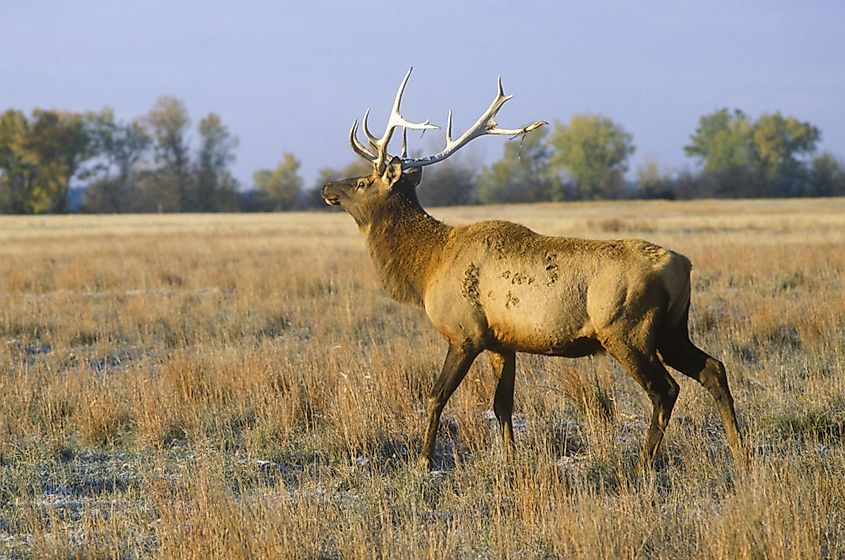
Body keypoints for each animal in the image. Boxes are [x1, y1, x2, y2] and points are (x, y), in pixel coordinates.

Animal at [320, 68, 740, 468]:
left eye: (363, 182)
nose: (327, 187)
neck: (427, 267)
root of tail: (683, 265)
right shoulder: (501, 342)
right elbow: (502, 404)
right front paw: (509, 457)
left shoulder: (465, 334)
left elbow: (436, 397)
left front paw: (424, 460)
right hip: (671, 330)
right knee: (714, 368)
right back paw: (740, 449)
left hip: (627, 330)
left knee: (666, 390)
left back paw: (644, 463)